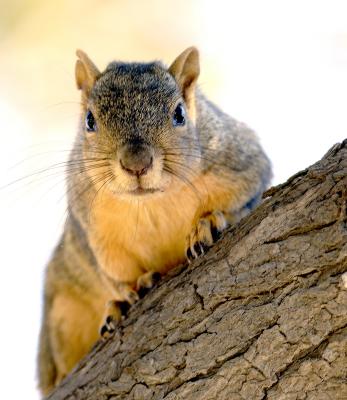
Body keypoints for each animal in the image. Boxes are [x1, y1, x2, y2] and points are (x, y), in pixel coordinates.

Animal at [37, 46, 272, 394]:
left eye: (179, 114)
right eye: (89, 121)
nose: (136, 163)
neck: (151, 202)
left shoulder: (243, 161)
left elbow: (246, 199)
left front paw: (207, 223)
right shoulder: (87, 226)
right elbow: (110, 270)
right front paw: (131, 289)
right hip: (62, 314)